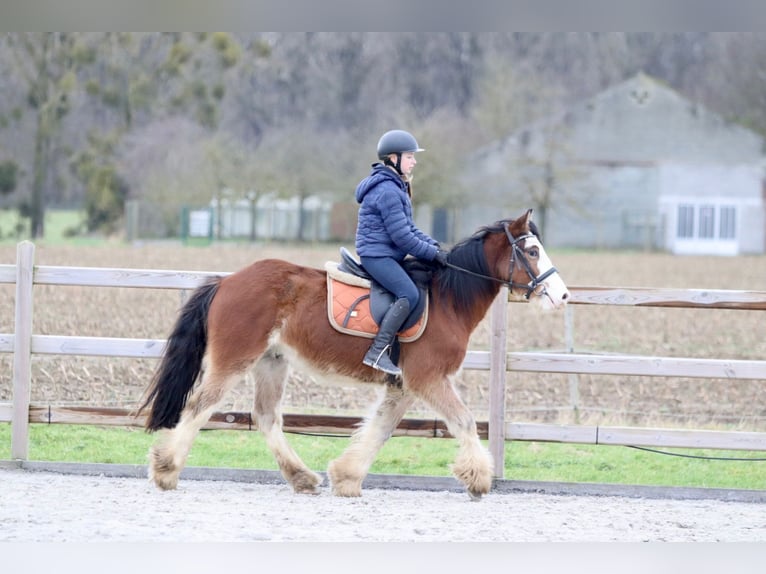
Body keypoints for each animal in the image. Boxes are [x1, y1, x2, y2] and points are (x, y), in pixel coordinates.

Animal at [136, 210, 568, 500]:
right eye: (532, 251)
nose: (562, 296)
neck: (447, 300)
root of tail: (227, 282)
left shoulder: (403, 384)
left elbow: (381, 429)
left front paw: (346, 477)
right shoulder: (428, 378)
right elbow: (462, 422)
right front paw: (478, 479)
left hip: (271, 362)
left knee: (266, 417)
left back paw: (302, 478)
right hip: (235, 359)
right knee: (200, 407)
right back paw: (166, 470)